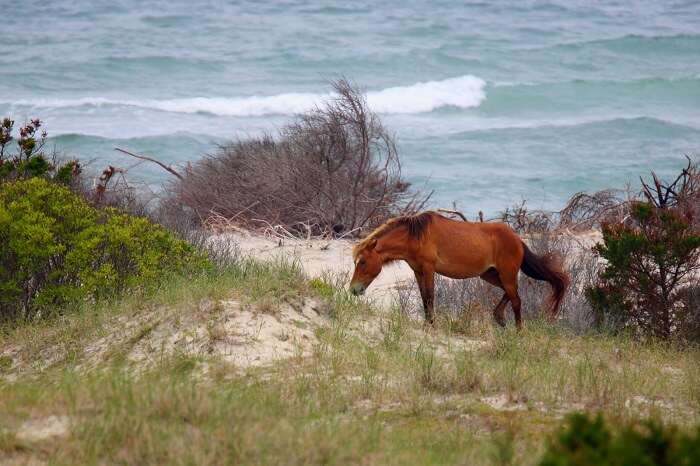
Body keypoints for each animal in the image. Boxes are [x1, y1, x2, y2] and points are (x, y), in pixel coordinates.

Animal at [350, 211, 568, 328]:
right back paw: (499, 318)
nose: (353, 289)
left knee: (516, 300)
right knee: (511, 293)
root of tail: (518, 240)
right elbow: (424, 298)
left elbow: (430, 297)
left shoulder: (428, 269)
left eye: (362, 262)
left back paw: (518, 331)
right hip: (489, 275)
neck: (416, 236)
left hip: (506, 274)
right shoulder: (418, 271)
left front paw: (431, 324)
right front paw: (427, 323)